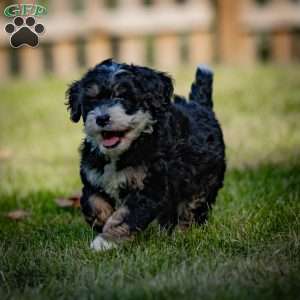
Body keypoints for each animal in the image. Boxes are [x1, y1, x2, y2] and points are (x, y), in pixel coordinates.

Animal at [65, 58, 225, 251]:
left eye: (123, 97)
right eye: (92, 100)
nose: (102, 118)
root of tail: (201, 106)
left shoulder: (150, 186)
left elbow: (126, 215)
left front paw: (106, 241)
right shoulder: (92, 180)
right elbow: (93, 203)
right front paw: (102, 222)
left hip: (204, 180)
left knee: (192, 209)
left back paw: (182, 234)